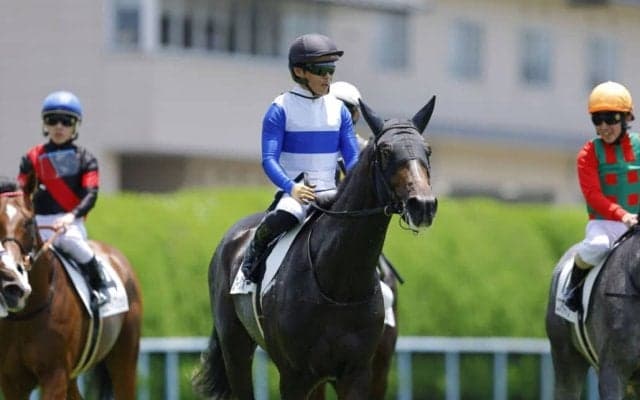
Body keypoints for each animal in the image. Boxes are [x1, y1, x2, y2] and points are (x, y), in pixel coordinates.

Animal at [0, 179, 142, 399]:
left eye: (28, 222)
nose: (12, 285)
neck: (25, 316)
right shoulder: (11, 382)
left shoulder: (54, 375)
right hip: (73, 375)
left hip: (125, 360)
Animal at [193, 97, 437, 399]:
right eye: (385, 150)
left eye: (427, 149)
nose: (423, 205)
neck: (339, 283)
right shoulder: (295, 376)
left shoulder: (357, 373)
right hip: (235, 346)